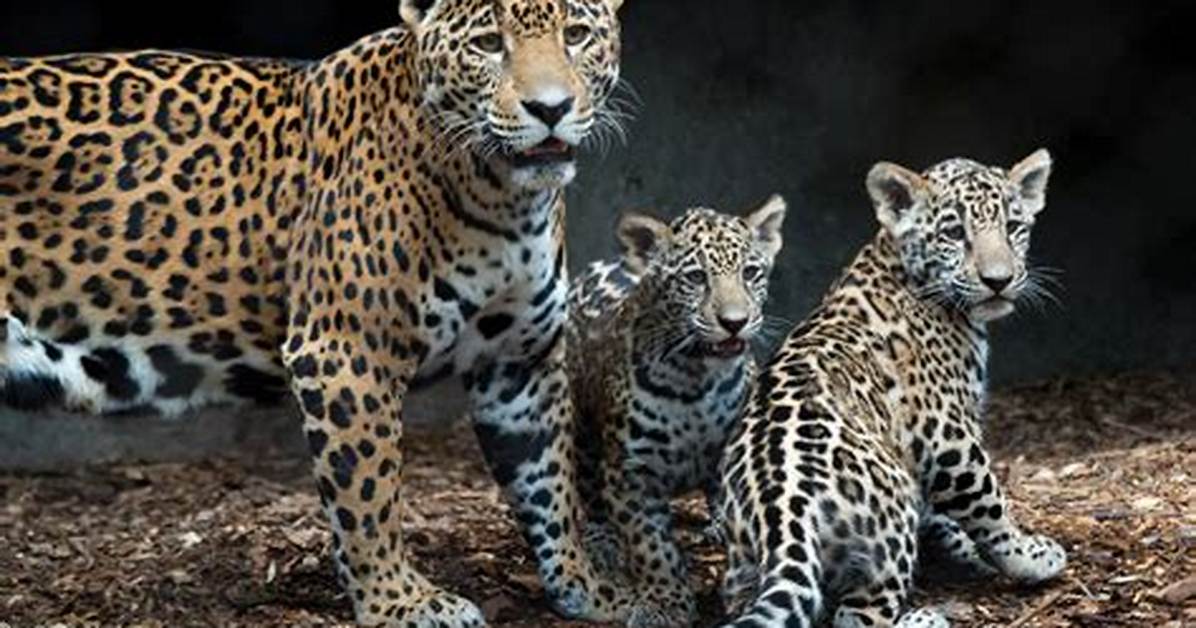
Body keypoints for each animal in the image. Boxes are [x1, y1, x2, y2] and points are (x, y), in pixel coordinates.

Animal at [0, 0, 645, 625]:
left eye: (576, 34)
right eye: (488, 44)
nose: (550, 108)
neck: (504, 198)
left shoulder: (519, 363)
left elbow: (549, 481)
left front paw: (587, 587)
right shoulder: (347, 354)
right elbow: (370, 492)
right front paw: (399, 601)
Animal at [567, 196, 787, 626]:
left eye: (751, 272)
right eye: (696, 277)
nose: (734, 322)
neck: (693, 378)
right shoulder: (630, 472)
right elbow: (652, 547)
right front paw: (666, 603)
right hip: (582, 428)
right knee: (589, 489)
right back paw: (602, 542)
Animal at [717, 150, 1067, 628]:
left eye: (1014, 226)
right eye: (954, 233)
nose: (999, 279)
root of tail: (781, 515)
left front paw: (960, 545)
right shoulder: (946, 435)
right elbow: (990, 505)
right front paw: (1030, 555)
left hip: (743, 566)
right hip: (887, 526)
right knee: (856, 616)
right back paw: (925, 618)